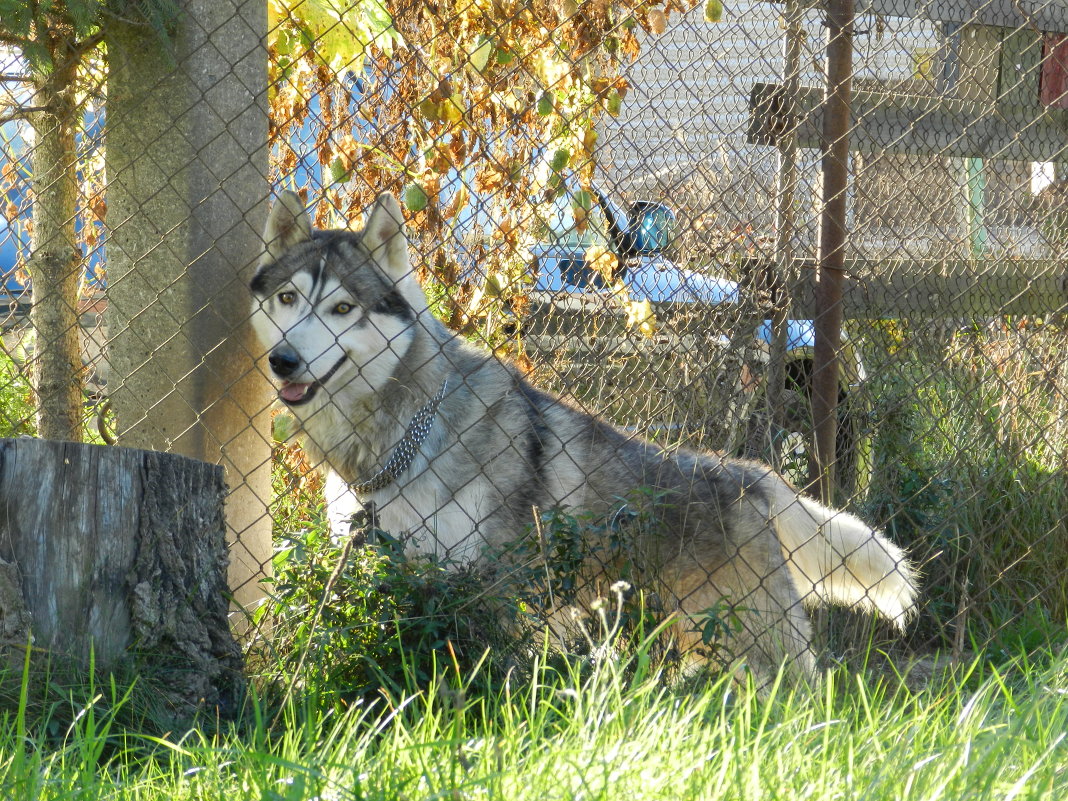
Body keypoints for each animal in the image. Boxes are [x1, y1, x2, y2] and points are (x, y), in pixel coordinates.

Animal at [249, 191, 918, 679]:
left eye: (342, 309)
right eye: (287, 298)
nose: (283, 362)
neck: (404, 435)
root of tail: (750, 475)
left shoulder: (486, 594)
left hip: (753, 647)